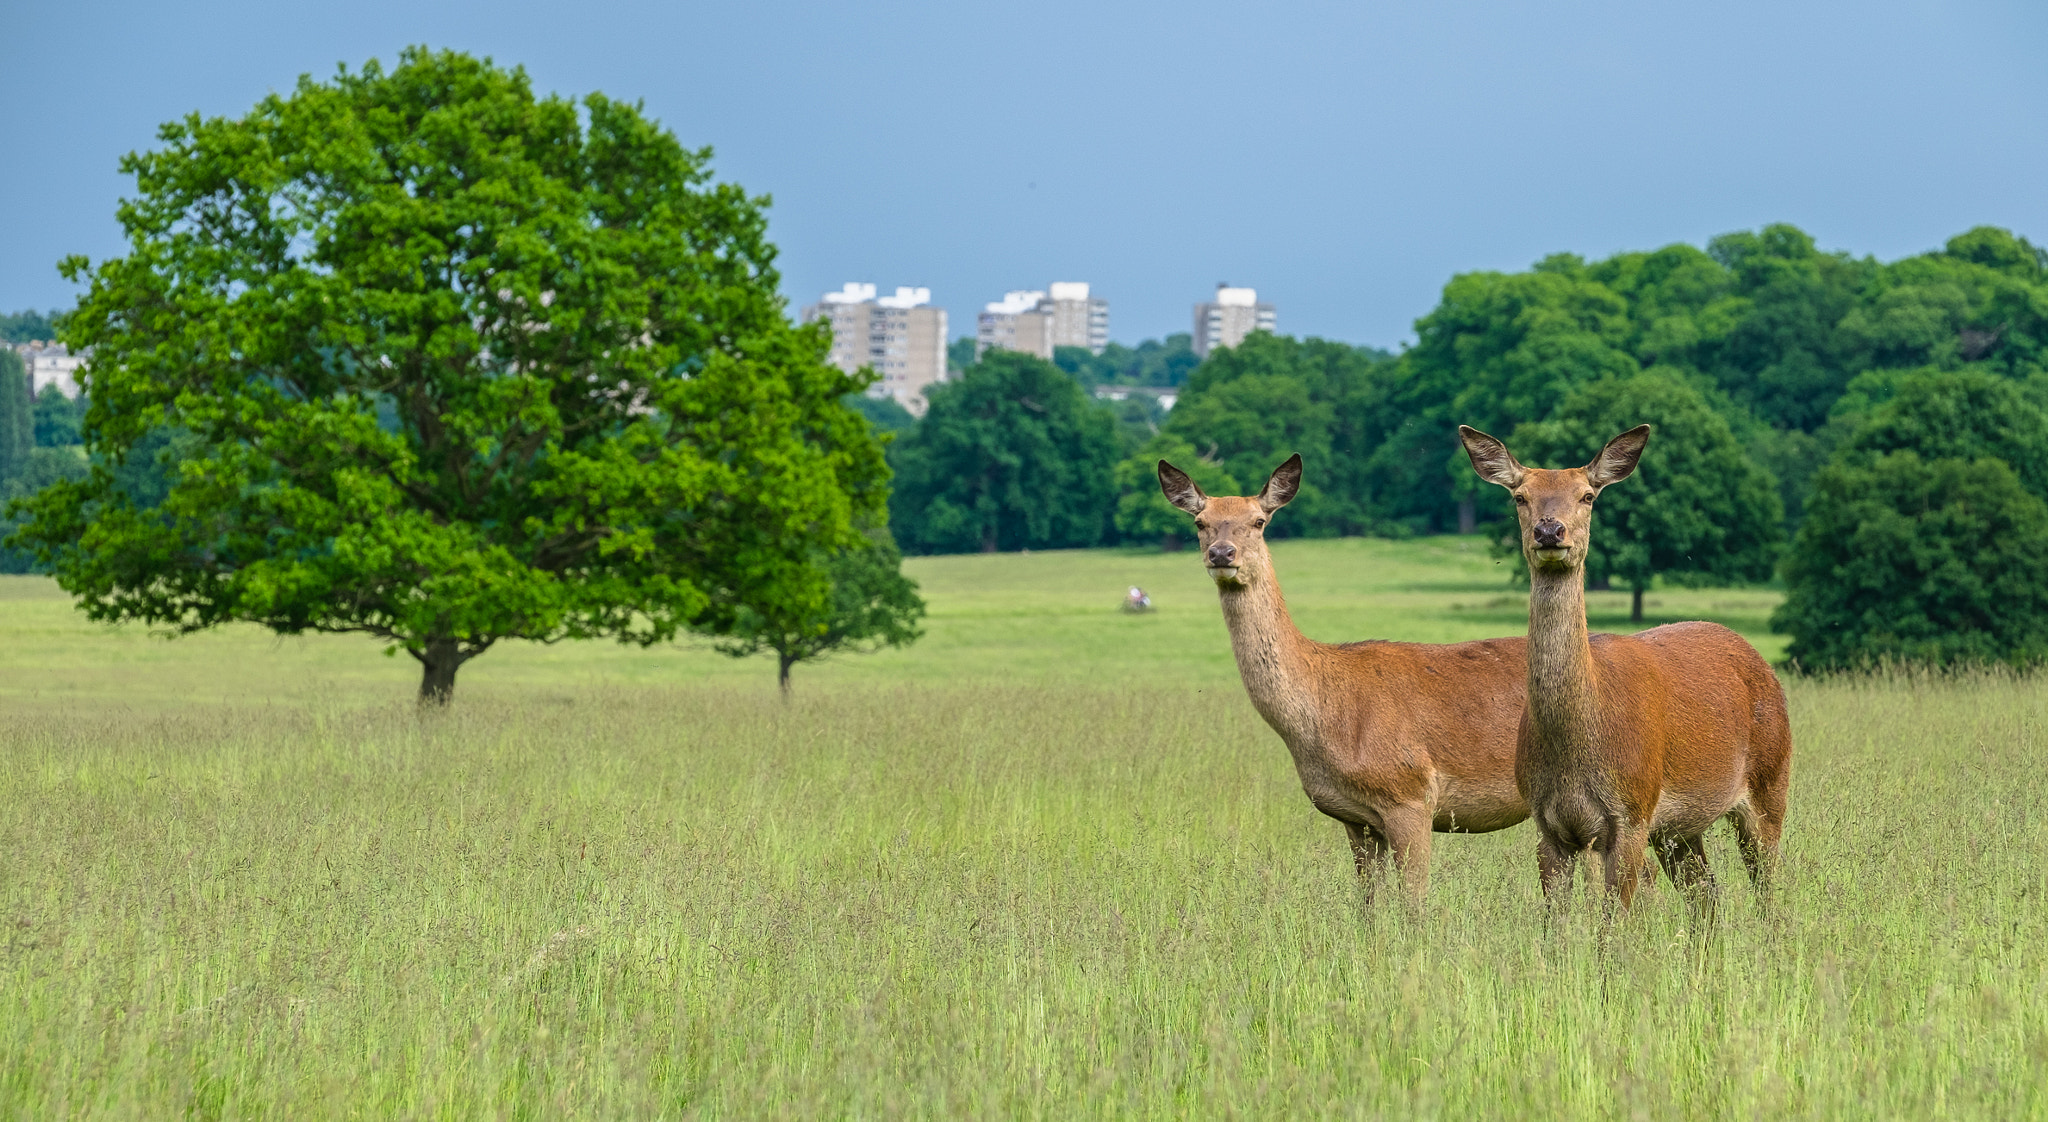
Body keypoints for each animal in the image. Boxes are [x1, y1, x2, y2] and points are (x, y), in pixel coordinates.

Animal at [1163, 454, 1540, 900]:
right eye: (1199, 522)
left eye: (1258, 520)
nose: (1222, 553)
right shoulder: (1355, 818)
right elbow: (1369, 903)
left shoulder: (1411, 793)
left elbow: (1414, 901)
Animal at [1458, 423, 1794, 913]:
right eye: (1520, 496)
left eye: (1587, 495)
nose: (1549, 530)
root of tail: (1760, 661)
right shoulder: (1546, 824)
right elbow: (1554, 922)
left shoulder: (1632, 812)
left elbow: (1614, 920)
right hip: (1681, 827)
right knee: (1706, 892)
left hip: (1771, 780)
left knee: (1770, 888)